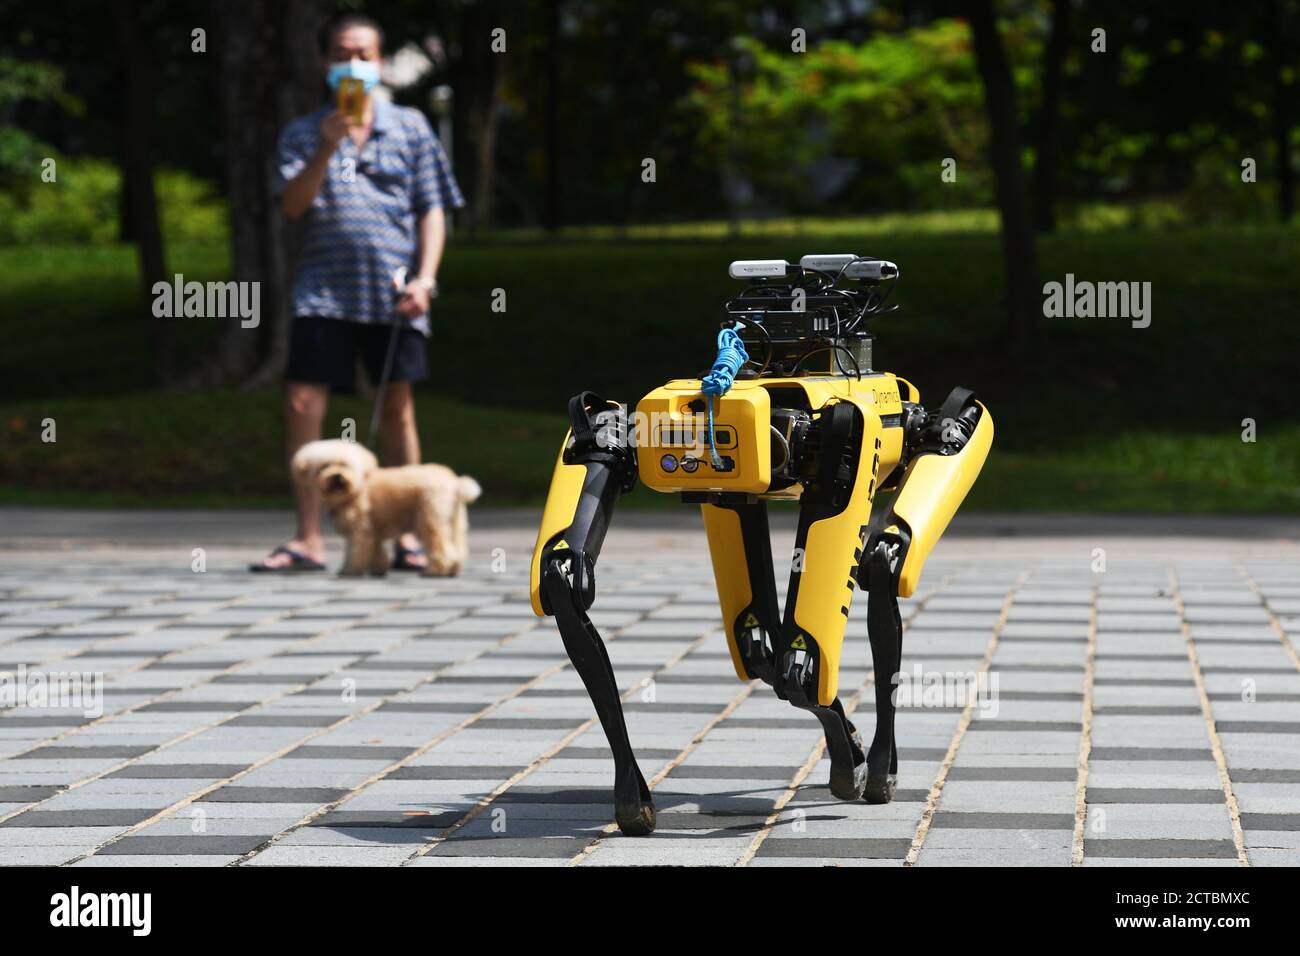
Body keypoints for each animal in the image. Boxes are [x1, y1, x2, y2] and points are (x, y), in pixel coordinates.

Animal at [318, 463, 483, 574]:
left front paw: (351, 570)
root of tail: (456, 484)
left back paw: (436, 570)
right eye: (325, 466)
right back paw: (453, 568)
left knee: (441, 548)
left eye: (345, 465)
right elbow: (371, 551)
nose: (337, 477)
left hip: (429, 519)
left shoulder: (360, 530)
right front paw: (376, 568)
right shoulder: (370, 532)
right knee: (458, 548)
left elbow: (356, 551)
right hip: (454, 521)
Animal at [525, 256, 982, 837]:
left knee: (885, 556)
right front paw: (633, 799)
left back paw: (874, 765)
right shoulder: (670, 458)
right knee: (756, 641)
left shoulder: (851, 436)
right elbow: (565, 560)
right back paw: (849, 752)